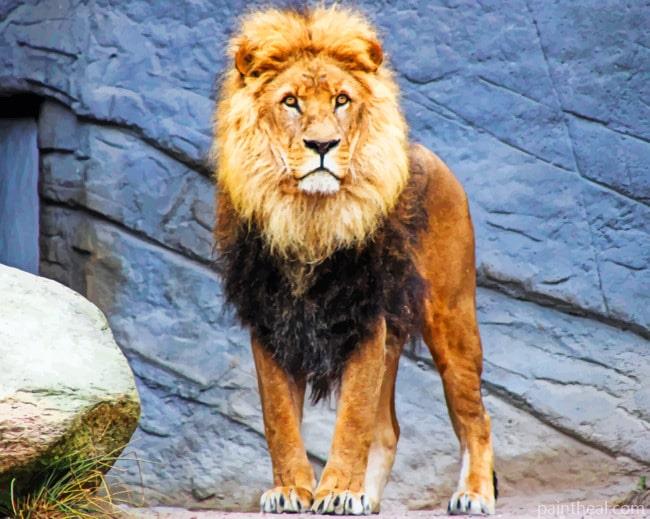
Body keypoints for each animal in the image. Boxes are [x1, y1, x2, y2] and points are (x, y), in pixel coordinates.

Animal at [212, 6, 497, 516]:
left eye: (341, 100)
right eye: (291, 102)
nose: (322, 145)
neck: (309, 219)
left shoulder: (364, 318)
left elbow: (352, 422)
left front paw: (338, 491)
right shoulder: (270, 322)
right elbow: (279, 420)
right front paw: (292, 490)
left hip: (452, 318)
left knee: (476, 418)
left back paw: (473, 494)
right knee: (389, 430)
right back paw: (370, 496)